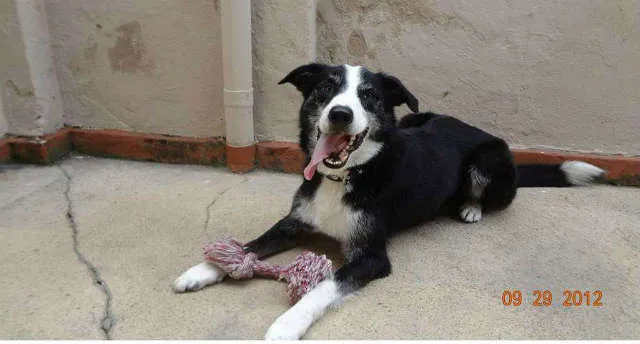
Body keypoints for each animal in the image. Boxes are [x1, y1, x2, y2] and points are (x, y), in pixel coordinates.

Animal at [172, 62, 604, 338]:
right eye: (325, 89)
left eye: (368, 96)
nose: (340, 114)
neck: (346, 176)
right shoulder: (294, 221)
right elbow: (251, 245)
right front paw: (205, 269)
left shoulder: (372, 256)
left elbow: (324, 286)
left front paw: (286, 324)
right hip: (417, 118)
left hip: (488, 161)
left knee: (495, 196)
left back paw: (470, 207)